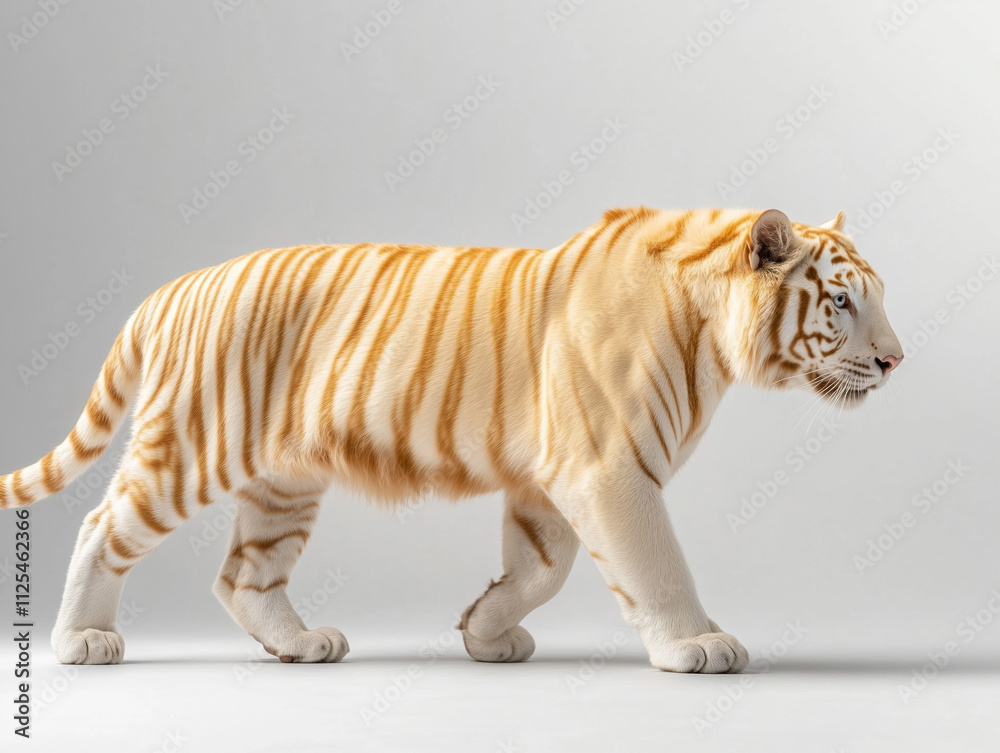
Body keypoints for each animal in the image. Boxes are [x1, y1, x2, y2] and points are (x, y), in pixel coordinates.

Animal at [0, 206, 902, 673]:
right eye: (842, 302)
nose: (898, 359)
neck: (711, 334)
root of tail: (169, 290)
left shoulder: (550, 479)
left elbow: (542, 567)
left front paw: (484, 630)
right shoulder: (610, 469)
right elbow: (656, 564)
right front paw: (697, 643)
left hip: (284, 480)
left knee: (244, 574)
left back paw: (301, 645)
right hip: (191, 447)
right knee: (101, 525)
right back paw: (81, 640)